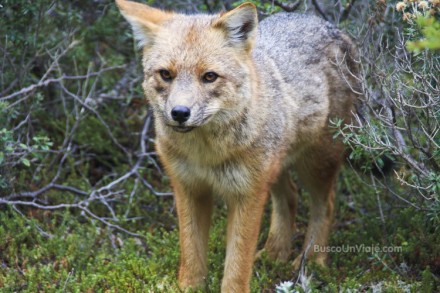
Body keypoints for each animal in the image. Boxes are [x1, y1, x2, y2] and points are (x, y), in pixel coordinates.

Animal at [116, 1, 358, 290]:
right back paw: (275, 254)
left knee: (326, 204)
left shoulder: (246, 196)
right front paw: (190, 288)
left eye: (209, 77)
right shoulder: (189, 188)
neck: (205, 155)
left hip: (315, 165)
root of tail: (328, 25)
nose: (180, 113)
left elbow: (237, 265)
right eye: (166, 74)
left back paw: (310, 262)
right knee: (289, 197)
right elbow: (191, 256)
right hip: (274, 172)